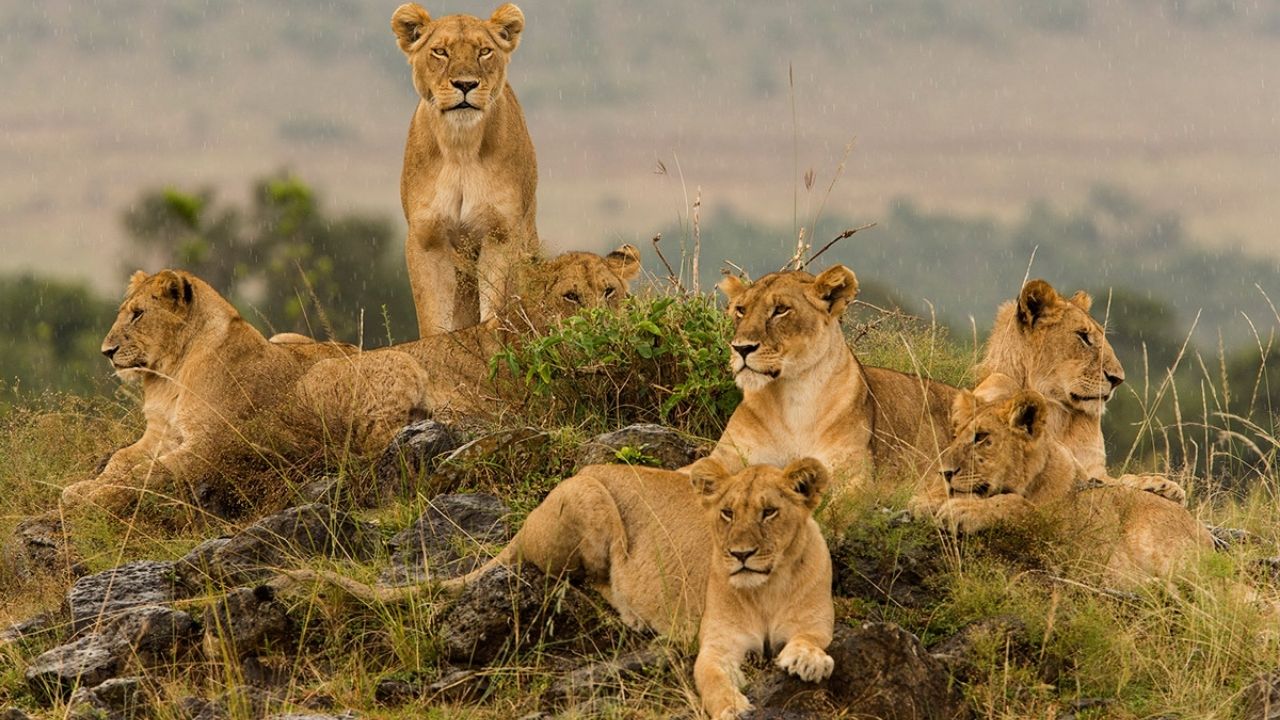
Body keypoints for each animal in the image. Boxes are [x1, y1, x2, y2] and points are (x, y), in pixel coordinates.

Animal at [59, 270, 428, 513]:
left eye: (138, 315)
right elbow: (121, 459)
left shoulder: (209, 444)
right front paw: (83, 487)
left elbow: (148, 472)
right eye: (123, 313)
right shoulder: (161, 432)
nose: (106, 351)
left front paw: (94, 497)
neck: (169, 374)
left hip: (331, 378)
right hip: (286, 337)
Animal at [392, 2, 538, 336]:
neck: (459, 149)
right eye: (440, 52)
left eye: (484, 51)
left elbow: (494, 310)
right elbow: (432, 318)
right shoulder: (426, 238)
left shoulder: (501, 233)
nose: (466, 84)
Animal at [710, 265, 958, 495]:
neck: (792, 395)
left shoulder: (853, 476)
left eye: (780, 310)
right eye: (741, 310)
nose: (741, 348)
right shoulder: (726, 455)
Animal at [933, 386, 1213, 585]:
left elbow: (1018, 506)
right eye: (956, 436)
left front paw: (961, 511)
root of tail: (1205, 534)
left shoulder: (1064, 541)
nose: (944, 472)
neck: (1035, 480)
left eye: (981, 437)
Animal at [977, 279, 1184, 503]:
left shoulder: (1095, 467)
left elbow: (1119, 479)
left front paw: (1165, 486)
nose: (1118, 379)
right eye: (1083, 336)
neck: (1059, 415)